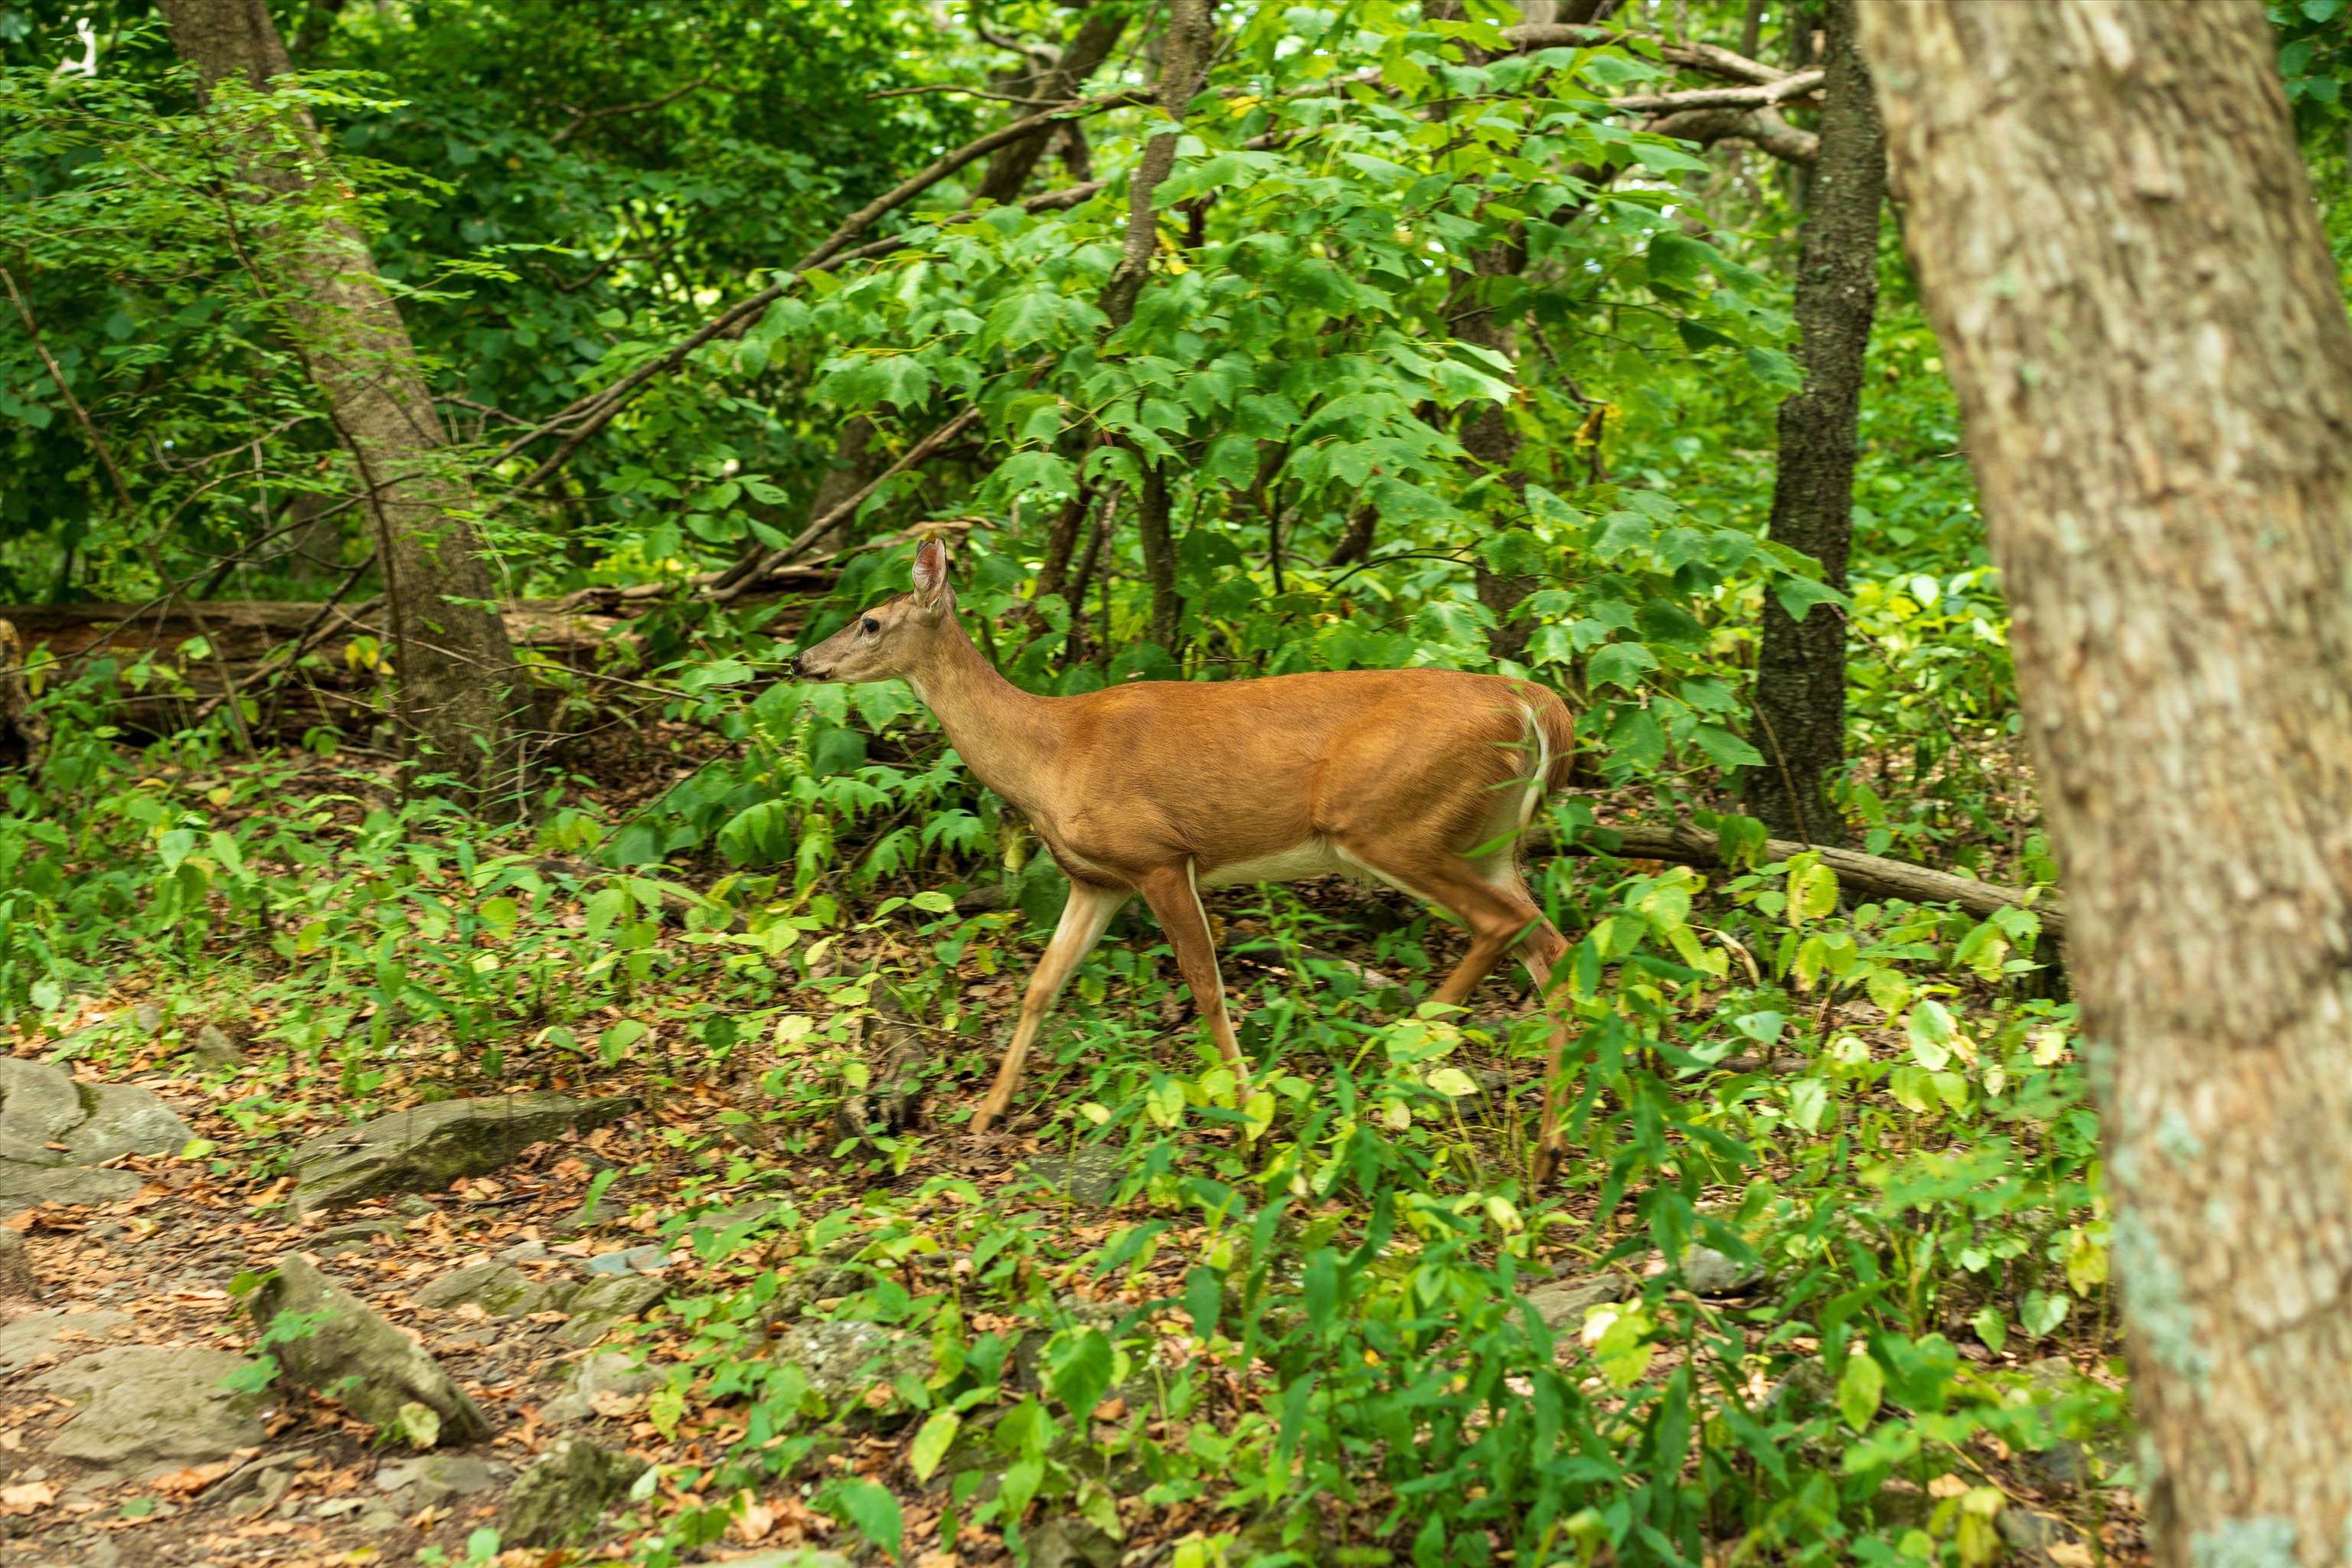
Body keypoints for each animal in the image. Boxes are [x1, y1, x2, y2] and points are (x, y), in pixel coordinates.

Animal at [795, 541, 1580, 1175]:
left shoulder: (1160, 857)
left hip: (1391, 825)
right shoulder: (1097, 879)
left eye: (870, 620)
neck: (1051, 755)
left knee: (1501, 928)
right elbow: (1041, 986)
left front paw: (1251, 1119)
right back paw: (1547, 1149)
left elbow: (1207, 987)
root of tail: (1536, 704)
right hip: (1486, 840)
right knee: (1554, 950)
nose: (801, 660)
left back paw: (1397, 1053)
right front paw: (988, 1113)